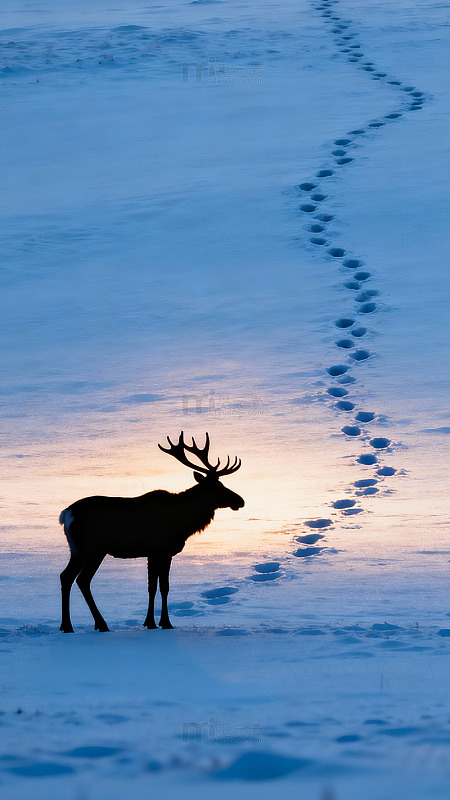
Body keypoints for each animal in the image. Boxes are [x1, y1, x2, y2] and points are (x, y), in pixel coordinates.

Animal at [59, 432, 244, 633]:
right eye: (217, 487)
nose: (240, 501)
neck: (183, 522)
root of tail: (66, 514)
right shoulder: (162, 549)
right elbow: (163, 587)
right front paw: (165, 623)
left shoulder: (151, 553)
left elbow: (151, 587)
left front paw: (150, 622)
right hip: (93, 549)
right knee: (82, 580)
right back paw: (100, 624)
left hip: (76, 550)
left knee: (66, 577)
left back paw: (66, 625)